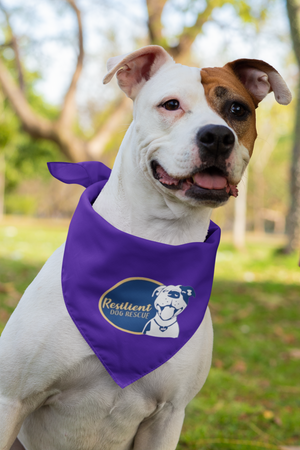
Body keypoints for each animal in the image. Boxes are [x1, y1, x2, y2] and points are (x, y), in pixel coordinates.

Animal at [0, 43, 290, 450]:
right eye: (171, 105)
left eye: (237, 110)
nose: (218, 136)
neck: (157, 239)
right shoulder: (12, 399)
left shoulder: (168, 415)